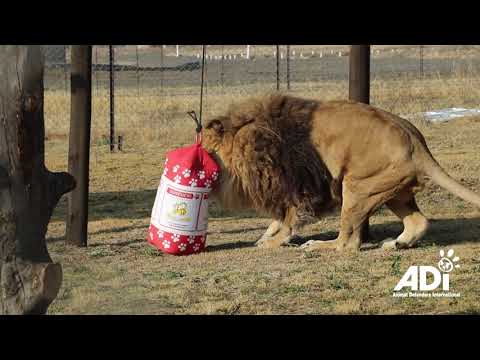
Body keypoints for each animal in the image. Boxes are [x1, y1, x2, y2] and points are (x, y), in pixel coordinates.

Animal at [202, 94, 480, 252]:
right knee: (419, 222)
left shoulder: (299, 183)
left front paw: (272, 242)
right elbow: (279, 219)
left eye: (203, 150)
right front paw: (266, 235)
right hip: (392, 191)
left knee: (348, 244)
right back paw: (395, 244)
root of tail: (416, 141)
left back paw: (316, 246)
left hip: (356, 188)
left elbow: (290, 219)